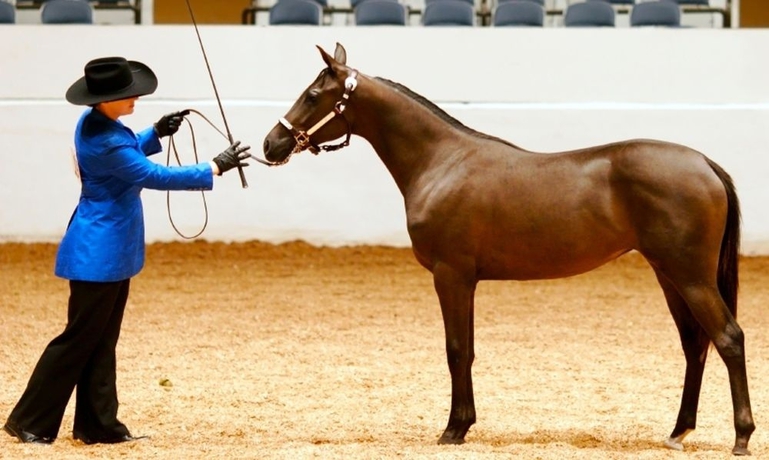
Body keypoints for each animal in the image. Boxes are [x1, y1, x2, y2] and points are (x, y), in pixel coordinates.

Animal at [260, 43, 752, 456]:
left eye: (312, 95)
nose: (271, 143)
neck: (441, 162)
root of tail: (703, 163)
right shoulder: (467, 280)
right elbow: (470, 349)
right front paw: (465, 424)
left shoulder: (451, 275)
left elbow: (456, 349)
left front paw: (452, 429)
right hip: (669, 274)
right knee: (695, 344)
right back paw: (678, 432)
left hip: (690, 276)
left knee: (728, 338)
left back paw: (741, 437)